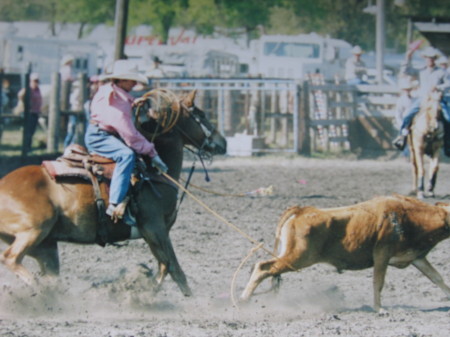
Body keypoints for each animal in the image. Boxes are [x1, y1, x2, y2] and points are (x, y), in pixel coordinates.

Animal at [0, 89, 227, 296]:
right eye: (200, 114)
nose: (223, 142)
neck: (151, 172)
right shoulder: (154, 228)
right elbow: (174, 268)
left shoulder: (158, 232)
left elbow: (164, 267)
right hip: (35, 230)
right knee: (10, 258)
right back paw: (40, 290)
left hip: (46, 246)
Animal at [241, 194, 450, 312]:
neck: (408, 216)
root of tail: (301, 211)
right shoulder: (382, 254)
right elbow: (378, 282)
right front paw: (379, 308)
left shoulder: (417, 257)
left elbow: (437, 278)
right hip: (298, 257)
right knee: (263, 268)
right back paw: (244, 299)